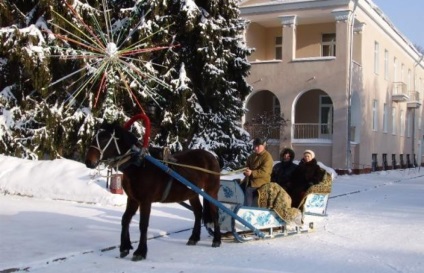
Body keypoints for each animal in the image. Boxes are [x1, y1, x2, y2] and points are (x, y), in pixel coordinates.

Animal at [83, 121, 222, 260]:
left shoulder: (145, 201)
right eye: (94, 136)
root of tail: (211, 156)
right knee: (198, 212)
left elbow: (143, 225)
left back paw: (217, 239)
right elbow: (125, 219)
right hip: (192, 193)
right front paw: (124, 247)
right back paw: (194, 238)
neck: (138, 165)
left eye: (104, 138)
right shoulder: (133, 199)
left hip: (211, 191)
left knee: (215, 213)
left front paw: (140, 252)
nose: (88, 161)